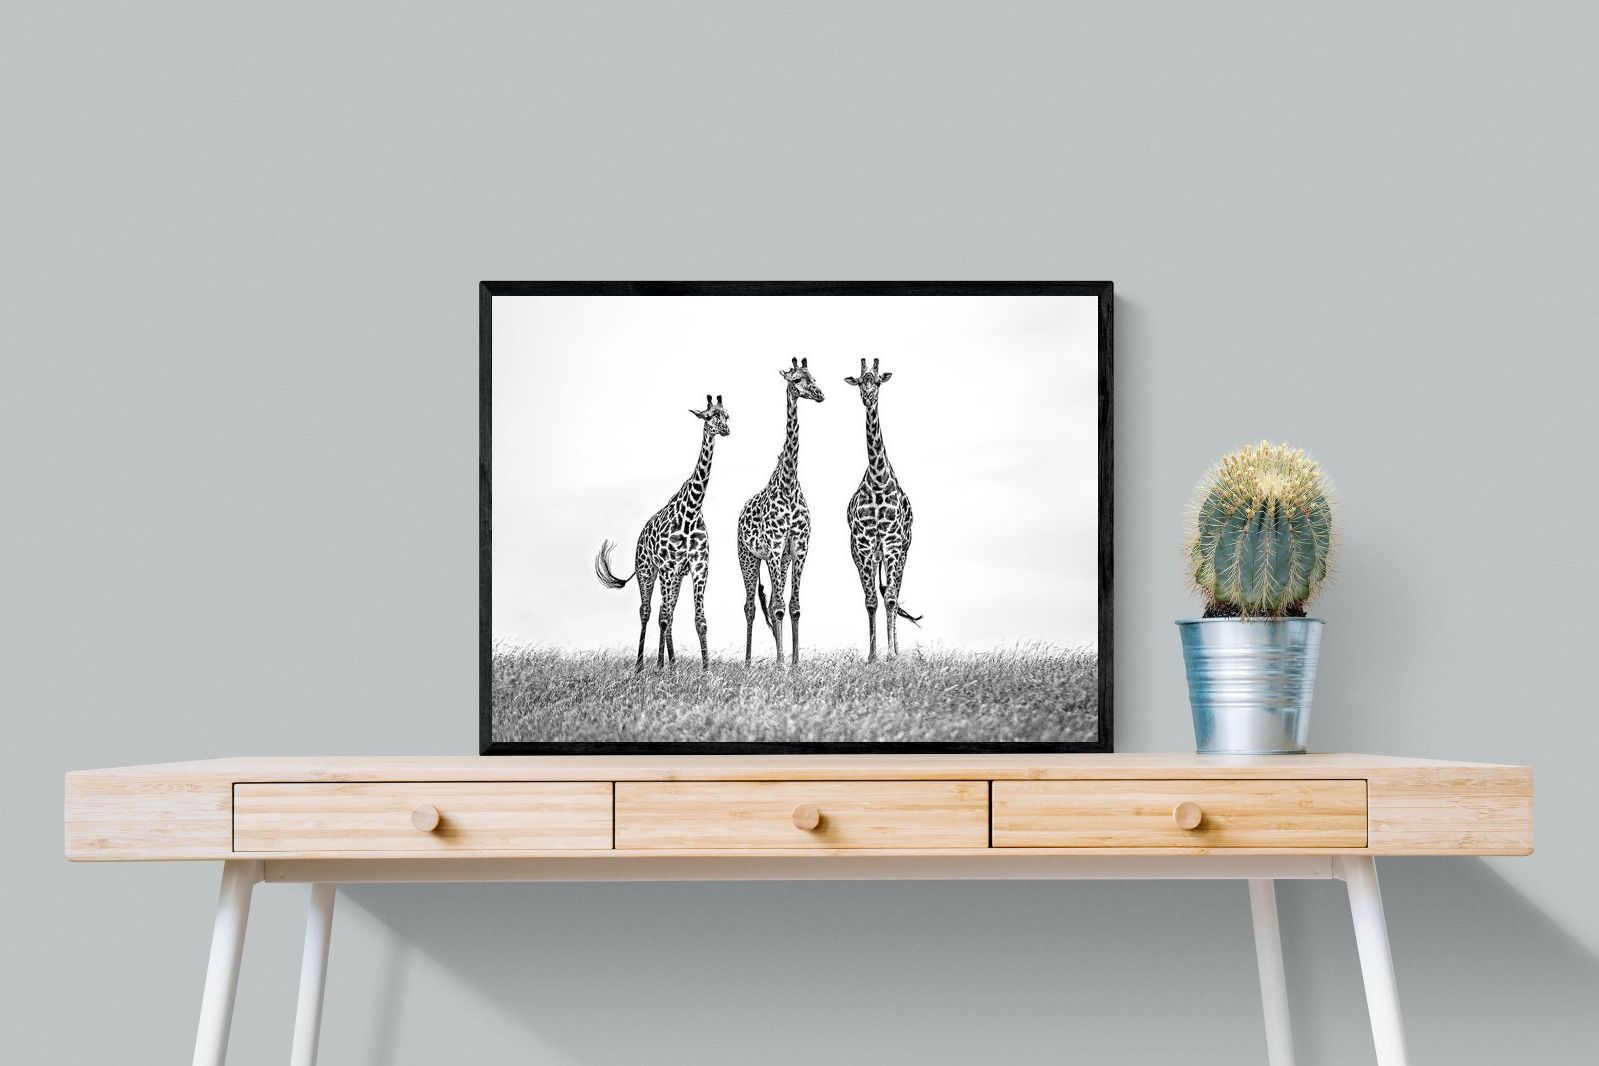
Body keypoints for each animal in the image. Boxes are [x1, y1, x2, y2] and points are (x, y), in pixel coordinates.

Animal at [594, 395, 730, 670]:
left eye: (727, 415)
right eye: (710, 416)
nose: (725, 430)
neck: (692, 510)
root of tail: (640, 536)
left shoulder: (699, 567)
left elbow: (700, 620)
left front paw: (706, 670)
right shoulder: (667, 567)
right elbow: (663, 616)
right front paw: (660, 667)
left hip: (674, 576)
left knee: (666, 612)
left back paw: (669, 663)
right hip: (647, 571)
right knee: (648, 612)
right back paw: (641, 666)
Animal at [737, 356, 824, 665]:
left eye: (814, 376)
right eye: (796, 380)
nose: (820, 394)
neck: (788, 486)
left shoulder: (798, 547)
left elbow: (793, 606)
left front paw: (795, 662)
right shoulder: (774, 547)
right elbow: (776, 606)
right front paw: (781, 663)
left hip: (779, 561)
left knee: (775, 600)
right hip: (748, 557)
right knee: (750, 606)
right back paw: (749, 661)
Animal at [844, 357, 922, 661]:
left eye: (877, 381)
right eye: (858, 382)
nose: (868, 397)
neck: (878, 481)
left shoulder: (893, 543)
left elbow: (889, 598)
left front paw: (891, 655)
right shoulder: (864, 546)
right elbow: (871, 601)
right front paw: (873, 655)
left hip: (902, 552)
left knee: (894, 593)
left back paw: (897, 649)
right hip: (869, 555)